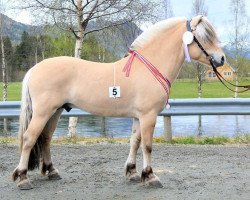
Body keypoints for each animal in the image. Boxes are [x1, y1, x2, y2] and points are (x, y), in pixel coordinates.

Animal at [12, 15, 226, 189]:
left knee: (45, 139)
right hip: (43, 112)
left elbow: (135, 142)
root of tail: (34, 69)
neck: (149, 67)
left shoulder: (139, 117)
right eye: (204, 36)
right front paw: (150, 176)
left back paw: (52, 171)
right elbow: (147, 145)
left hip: (55, 112)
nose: (222, 58)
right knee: (29, 138)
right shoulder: (148, 116)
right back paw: (22, 178)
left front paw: (132, 172)